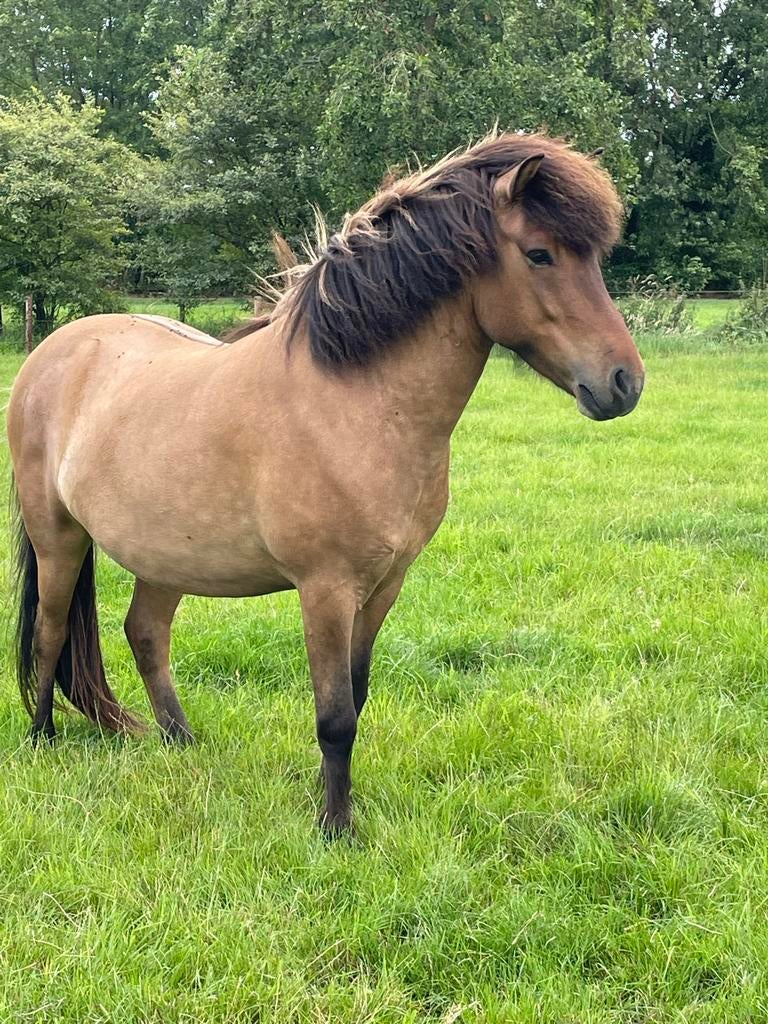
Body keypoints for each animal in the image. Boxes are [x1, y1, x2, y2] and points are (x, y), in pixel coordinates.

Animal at [7, 132, 644, 834]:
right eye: (539, 254)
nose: (624, 382)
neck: (355, 402)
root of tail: (51, 352)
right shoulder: (326, 590)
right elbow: (334, 714)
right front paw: (336, 829)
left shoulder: (384, 587)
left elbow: (355, 699)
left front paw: (328, 797)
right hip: (58, 537)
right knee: (50, 632)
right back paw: (43, 740)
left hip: (165, 556)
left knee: (145, 634)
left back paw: (182, 743)